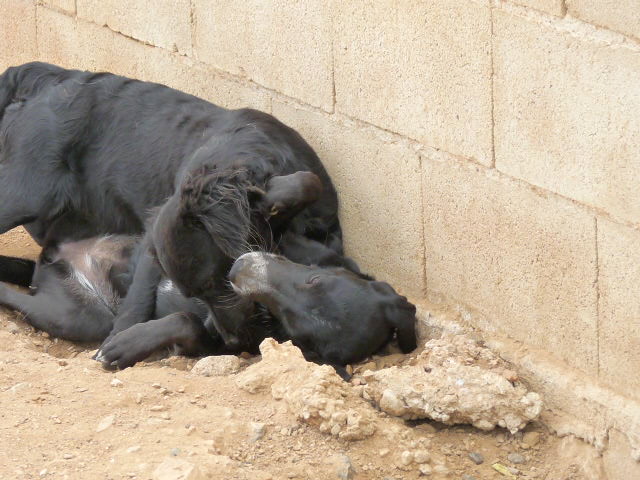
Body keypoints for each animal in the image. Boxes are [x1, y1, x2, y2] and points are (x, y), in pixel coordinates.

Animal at [0, 62, 344, 356]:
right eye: (199, 291)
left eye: (219, 282)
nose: (232, 340)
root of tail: (50, 77)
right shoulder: (155, 240)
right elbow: (139, 298)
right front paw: (121, 340)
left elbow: (307, 187)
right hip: (23, 195)